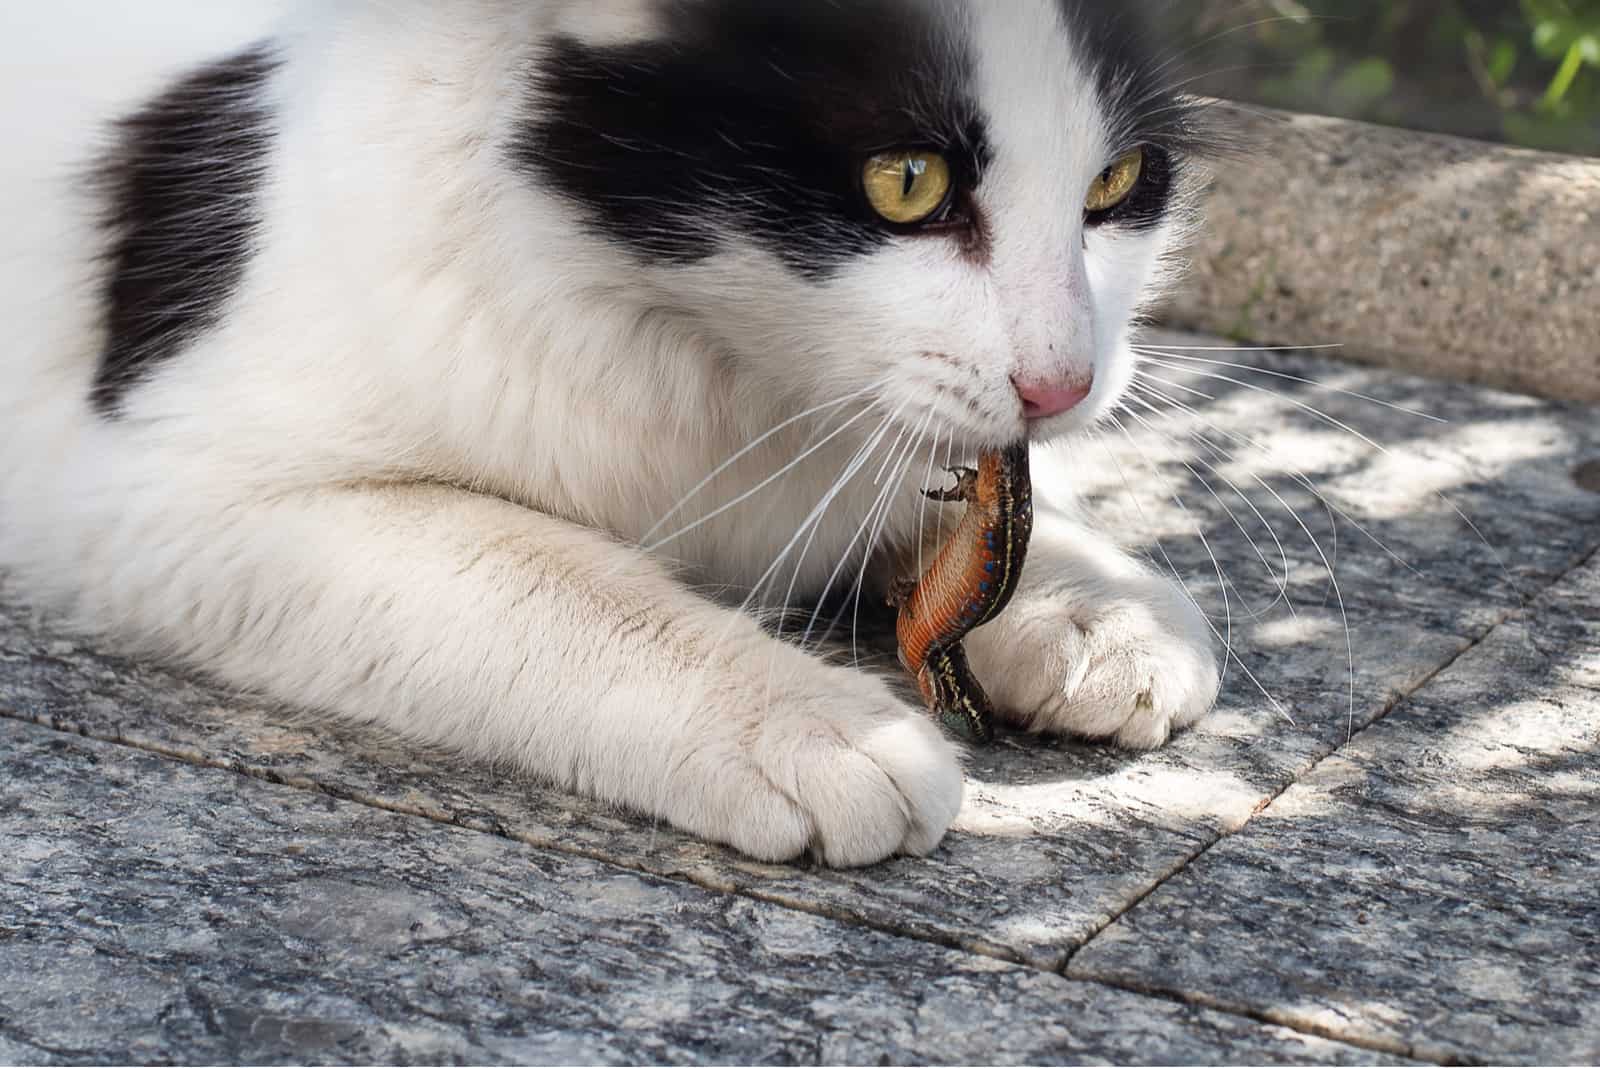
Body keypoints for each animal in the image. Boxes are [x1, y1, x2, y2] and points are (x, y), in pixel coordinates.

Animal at [3, 0, 1222, 869]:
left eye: (1115, 183)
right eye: (908, 183)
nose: (1064, 384)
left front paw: (1093, 605)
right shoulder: (160, 495)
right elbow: (554, 577)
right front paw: (804, 723)